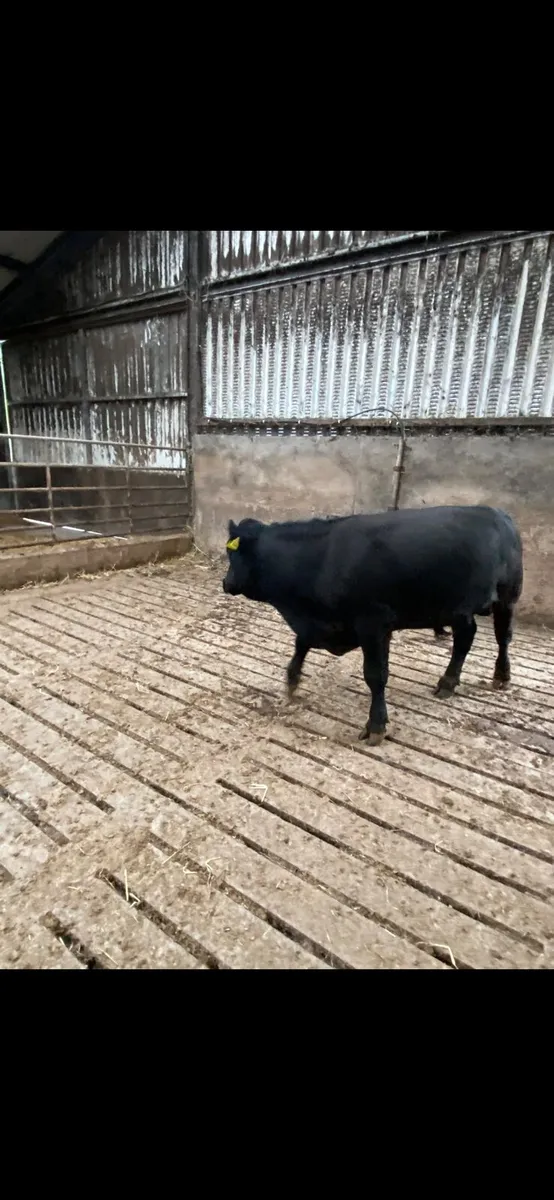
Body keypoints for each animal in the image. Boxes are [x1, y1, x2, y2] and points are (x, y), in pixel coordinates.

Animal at [222, 505, 523, 746]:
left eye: (231, 554)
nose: (226, 583)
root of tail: (498, 512)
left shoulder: (373, 624)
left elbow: (375, 675)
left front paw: (376, 725)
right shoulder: (324, 623)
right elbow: (301, 643)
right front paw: (292, 680)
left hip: (507, 596)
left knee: (502, 636)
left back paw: (500, 674)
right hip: (459, 609)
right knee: (465, 638)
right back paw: (448, 682)